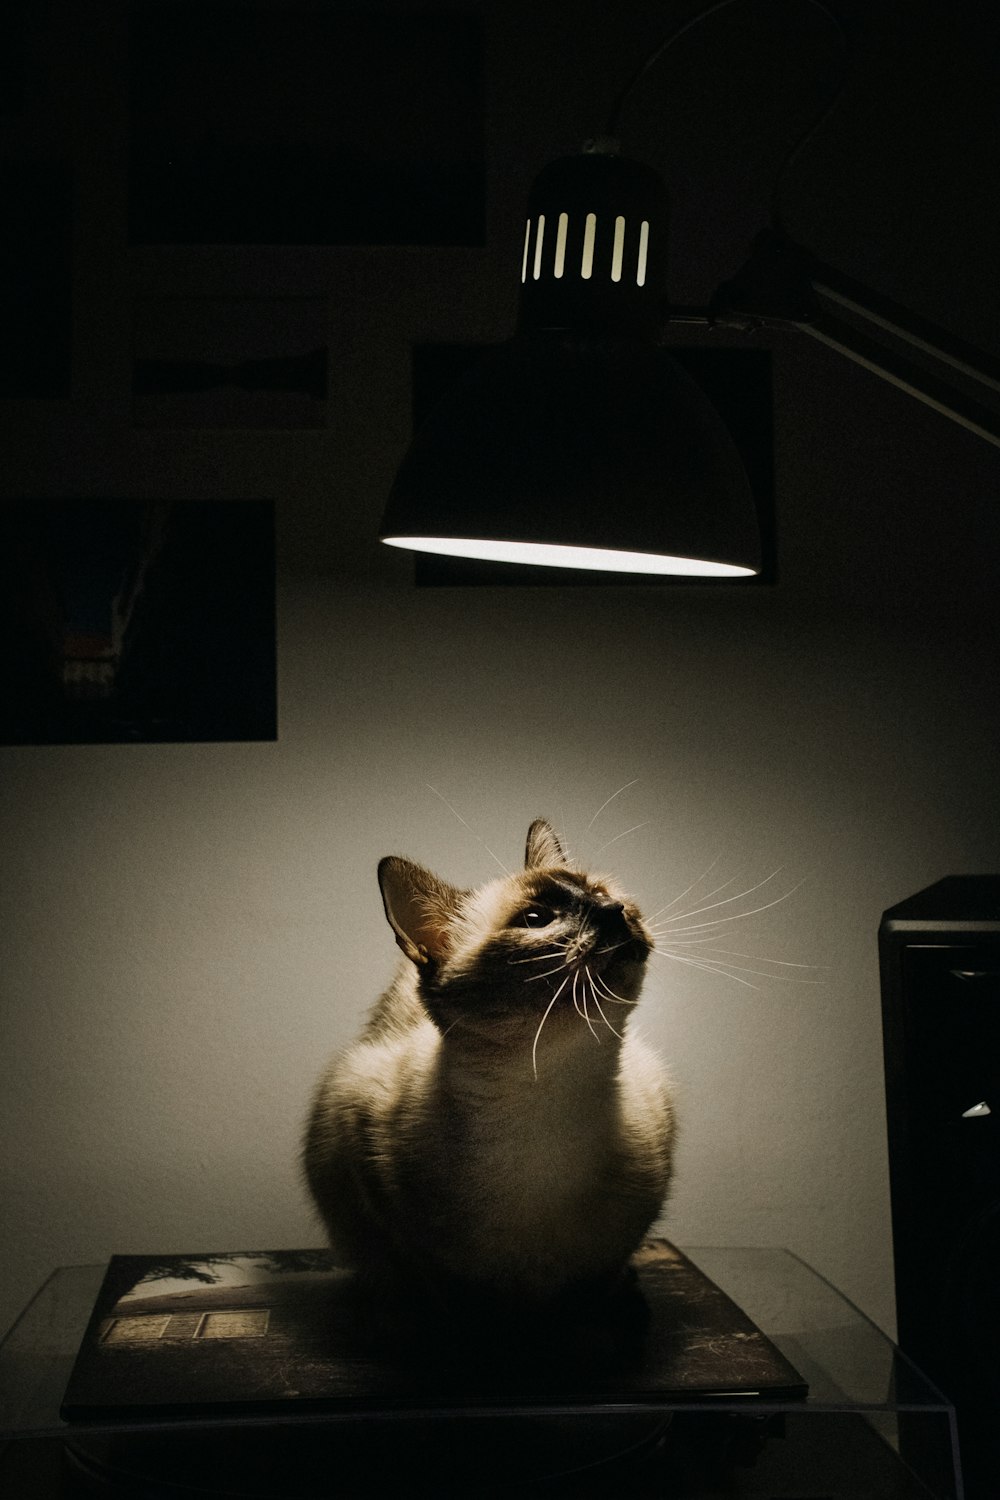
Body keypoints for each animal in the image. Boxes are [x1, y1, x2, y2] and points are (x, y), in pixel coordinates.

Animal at [299, 816, 671, 1332]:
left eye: (601, 892)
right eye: (535, 919)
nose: (613, 910)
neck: (544, 1099)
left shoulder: (613, 1249)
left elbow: (594, 1288)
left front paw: (603, 1316)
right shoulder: (402, 1224)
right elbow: (458, 1300)